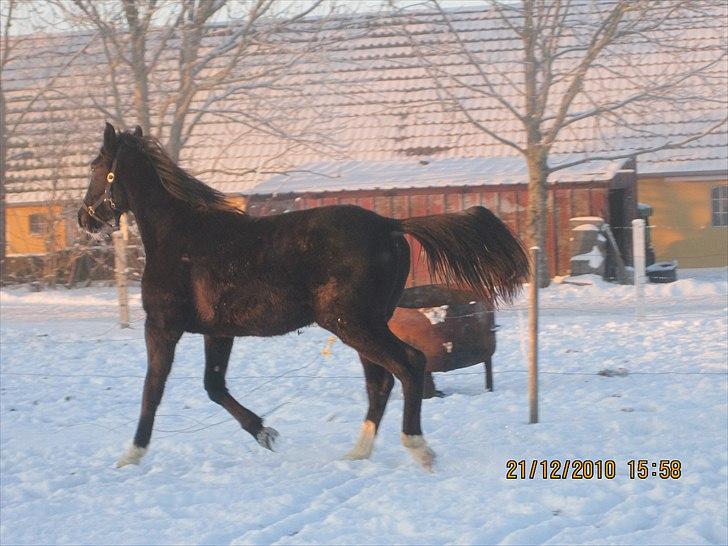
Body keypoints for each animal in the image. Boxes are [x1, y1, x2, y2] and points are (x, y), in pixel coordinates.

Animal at [78, 122, 528, 468]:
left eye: (97, 168)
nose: (84, 218)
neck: (181, 237)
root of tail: (391, 225)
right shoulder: (218, 332)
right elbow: (213, 385)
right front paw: (264, 432)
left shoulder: (162, 327)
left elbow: (152, 390)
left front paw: (130, 455)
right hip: (367, 323)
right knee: (381, 381)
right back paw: (357, 453)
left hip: (353, 323)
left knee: (409, 365)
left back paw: (418, 448)